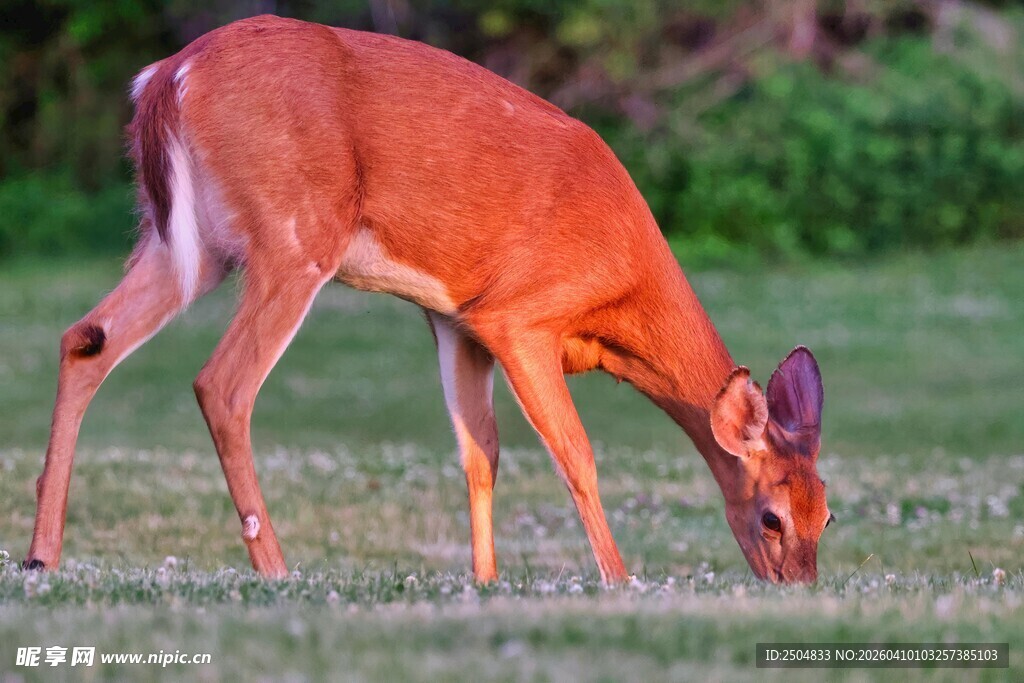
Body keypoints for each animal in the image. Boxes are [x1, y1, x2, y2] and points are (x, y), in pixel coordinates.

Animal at [24, 15, 833, 585]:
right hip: (294, 238)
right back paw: (277, 571)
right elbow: (575, 453)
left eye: (826, 513)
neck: (621, 300)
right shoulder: (519, 316)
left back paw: (41, 557)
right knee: (222, 384)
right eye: (771, 518)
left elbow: (481, 452)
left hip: (185, 245)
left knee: (86, 337)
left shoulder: (455, 319)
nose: (796, 586)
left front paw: (485, 581)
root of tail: (167, 76)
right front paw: (618, 579)